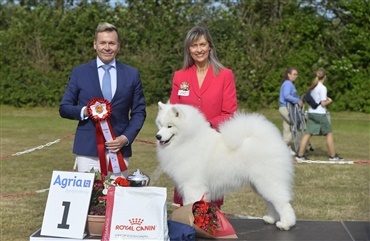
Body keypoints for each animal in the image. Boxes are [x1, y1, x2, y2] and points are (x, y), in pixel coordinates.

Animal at [155, 101, 296, 230]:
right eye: (160, 125)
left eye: (169, 126)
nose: (158, 136)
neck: (187, 140)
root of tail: (272, 140)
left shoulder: (193, 185)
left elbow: (191, 204)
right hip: (259, 184)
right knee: (271, 202)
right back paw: (271, 219)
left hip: (268, 181)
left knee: (282, 203)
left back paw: (286, 224)